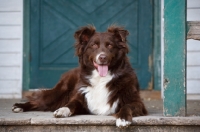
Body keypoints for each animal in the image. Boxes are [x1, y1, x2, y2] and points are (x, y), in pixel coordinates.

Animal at [12, 25, 147, 128]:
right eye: (94, 45)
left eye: (110, 46)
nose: (102, 57)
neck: (101, 79)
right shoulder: (81, 98)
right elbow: (71, 104)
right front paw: (62, 110)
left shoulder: (137, 102)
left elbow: (127, 106)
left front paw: (123, 119)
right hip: (58, 93)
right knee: (38, 101)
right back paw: (19, 106)